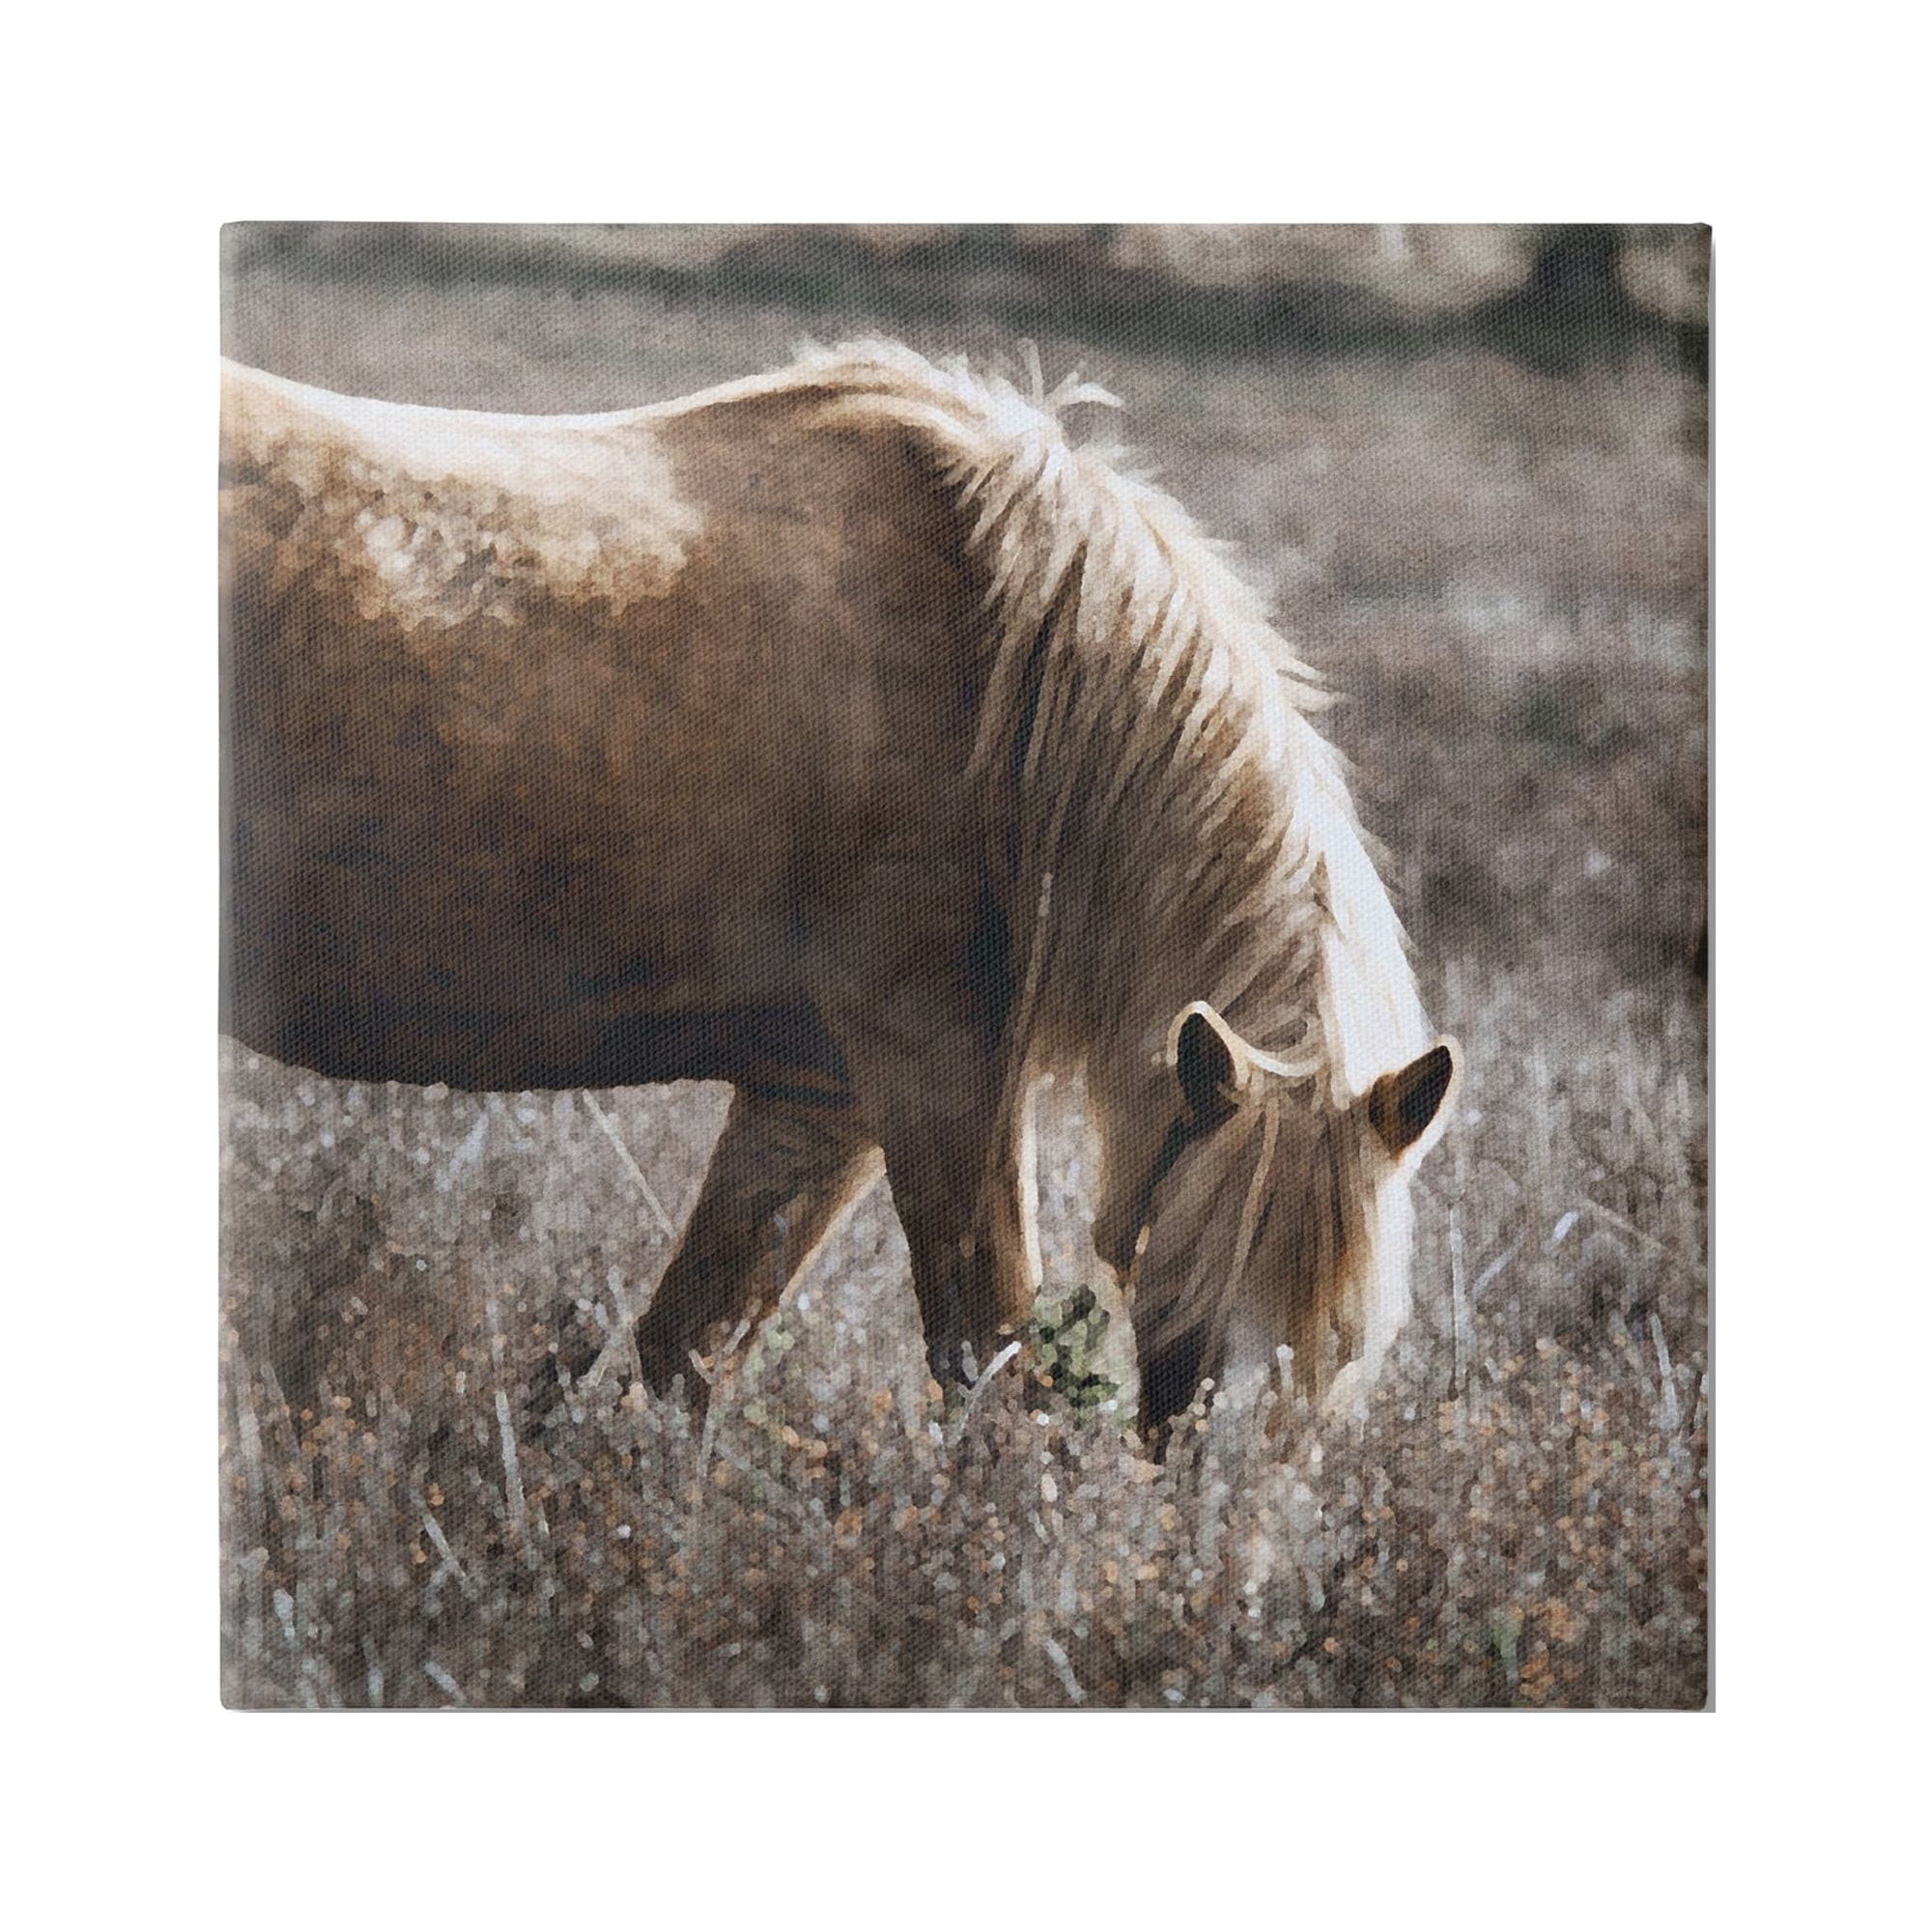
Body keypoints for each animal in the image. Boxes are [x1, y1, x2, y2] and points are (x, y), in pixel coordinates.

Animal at [220, 338, 1460, 1434]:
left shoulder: (816, 1105)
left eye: (1348, 1346)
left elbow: (685, 1359)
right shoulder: (934, 1079)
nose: (1224, 1540)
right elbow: (989, 1368)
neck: (1010, 680)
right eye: (1208, 1294)